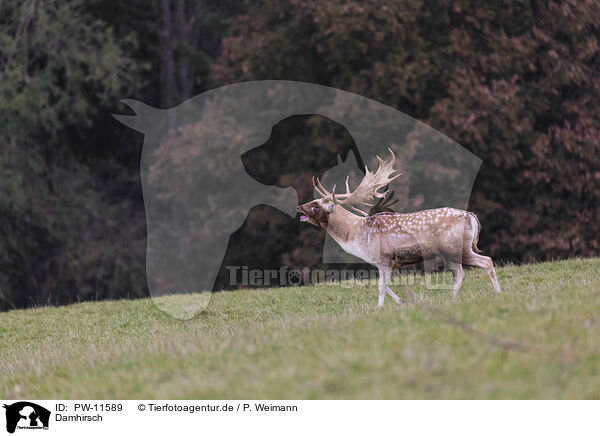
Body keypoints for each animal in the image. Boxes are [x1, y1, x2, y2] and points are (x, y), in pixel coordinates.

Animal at [298, 150, 502, 306]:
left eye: (316, 206)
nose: (299, 207)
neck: (355, 234)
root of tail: (471, 217)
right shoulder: (384, 263)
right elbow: (385, 285)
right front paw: (402, 301)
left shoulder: (383, 258)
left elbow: (381, 287)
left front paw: (379, 308)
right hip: (449, 252)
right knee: (460, 274)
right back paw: (451, 299)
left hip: (456, 247)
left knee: (487, 261)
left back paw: (498, 293)